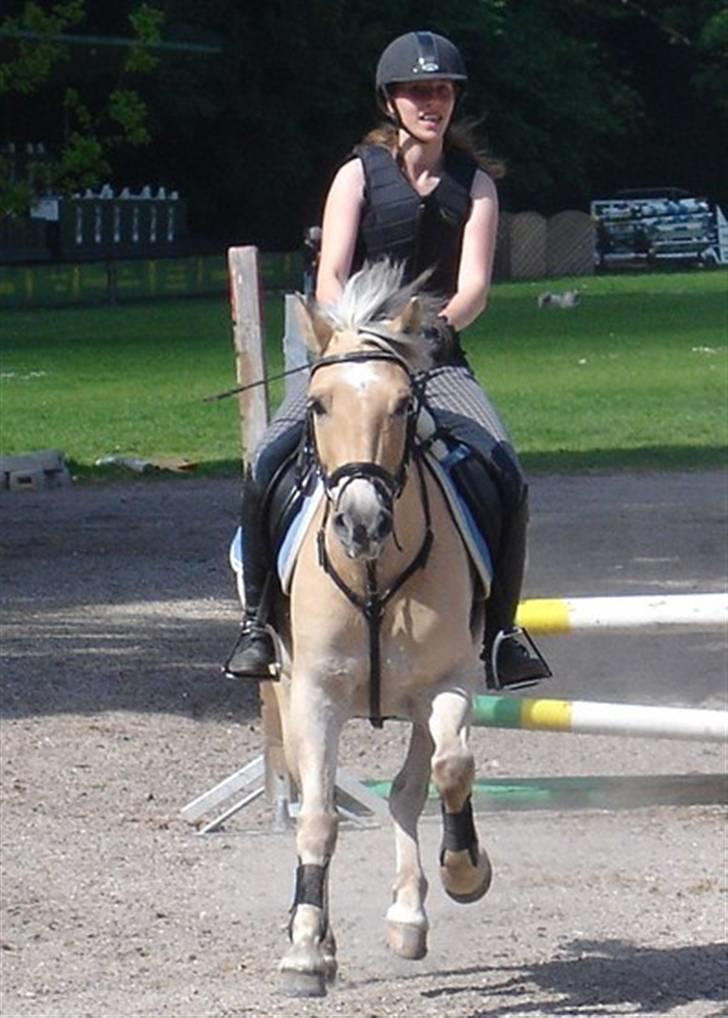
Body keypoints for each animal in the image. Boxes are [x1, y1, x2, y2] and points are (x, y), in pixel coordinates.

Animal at [274, 260, 494, 993]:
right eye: (319, 404)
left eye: (403, 405)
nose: (361, 523)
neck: (373, 572)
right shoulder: (314, 696)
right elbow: (316, 818)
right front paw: (305, 949)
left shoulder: (447, 684)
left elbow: (450, 770)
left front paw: (464, 872)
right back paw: (319, 932)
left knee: (408, 790)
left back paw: (408, 915)